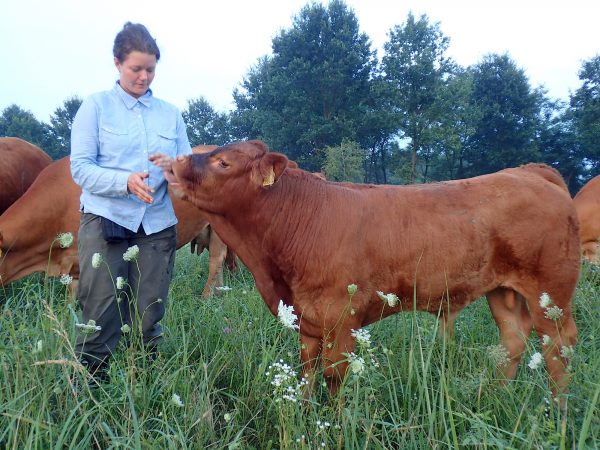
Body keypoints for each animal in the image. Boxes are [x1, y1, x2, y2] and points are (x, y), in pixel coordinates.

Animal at [169, 139, 580, 400]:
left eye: (223, 162)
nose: (173, 163)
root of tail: (529, 172)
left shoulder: (341, 320)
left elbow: (334, 378)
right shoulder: (307, 321)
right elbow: (306, 374)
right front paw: (305, 413)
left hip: (551, 296)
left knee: (558, 354)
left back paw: (556, 414)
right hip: (503, 290)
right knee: (514, 340)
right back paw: (493, 398)